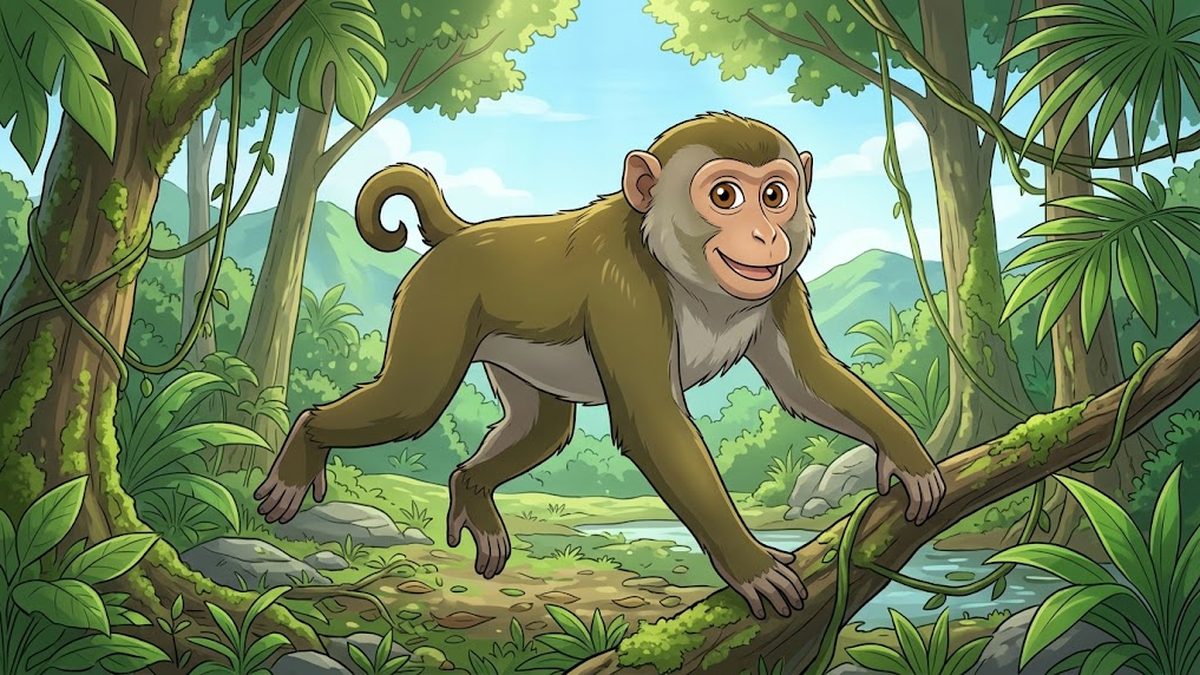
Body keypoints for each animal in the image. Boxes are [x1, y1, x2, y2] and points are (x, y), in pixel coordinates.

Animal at [255, 112, 945, 620]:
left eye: (775, 195)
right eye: (726, 195)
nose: (764, 234)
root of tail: (464, 235)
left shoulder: (780, 287)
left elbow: (807, 383)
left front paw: (907, 454)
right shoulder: (624, 288)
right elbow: (653, 422)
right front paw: (749, 565)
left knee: (541, 428)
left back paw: (472, 488)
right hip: (437, 302)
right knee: (412, 402)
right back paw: (306, 441)